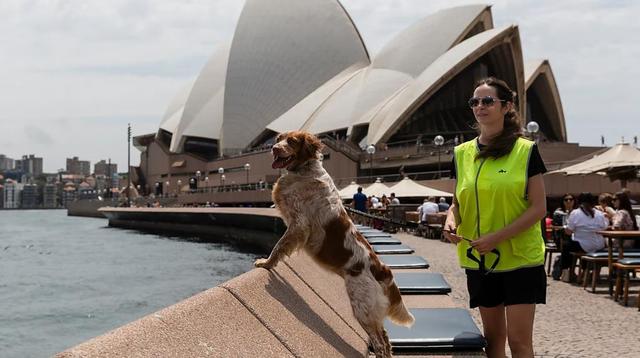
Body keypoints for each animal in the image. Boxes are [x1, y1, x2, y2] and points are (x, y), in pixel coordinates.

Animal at [255, 131, 416, 358]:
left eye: (292, 141)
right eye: (278, 139)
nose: (274, 148)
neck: (304, 170)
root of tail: (384, 269)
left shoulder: (299, 224)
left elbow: (278, 246)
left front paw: (266, 264)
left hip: (362, 308)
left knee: (380, 343)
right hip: (371, 311)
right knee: (386, 339)